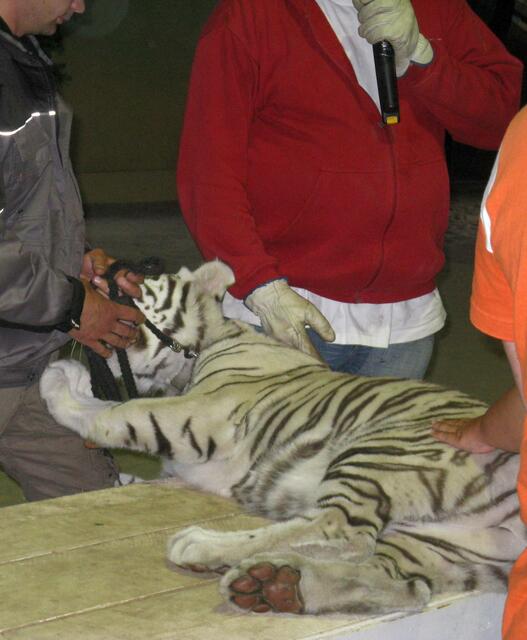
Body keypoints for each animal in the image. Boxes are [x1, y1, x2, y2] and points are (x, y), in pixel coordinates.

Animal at [40, 260, 526, 616]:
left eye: (139, 281)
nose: (93, 274)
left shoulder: (203, 413)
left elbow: (120, 413)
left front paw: (59, 379)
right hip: (447, 544)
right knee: (400, 583)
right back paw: (273, 585)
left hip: (378, 453)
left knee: (341, 531)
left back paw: (205, 546)